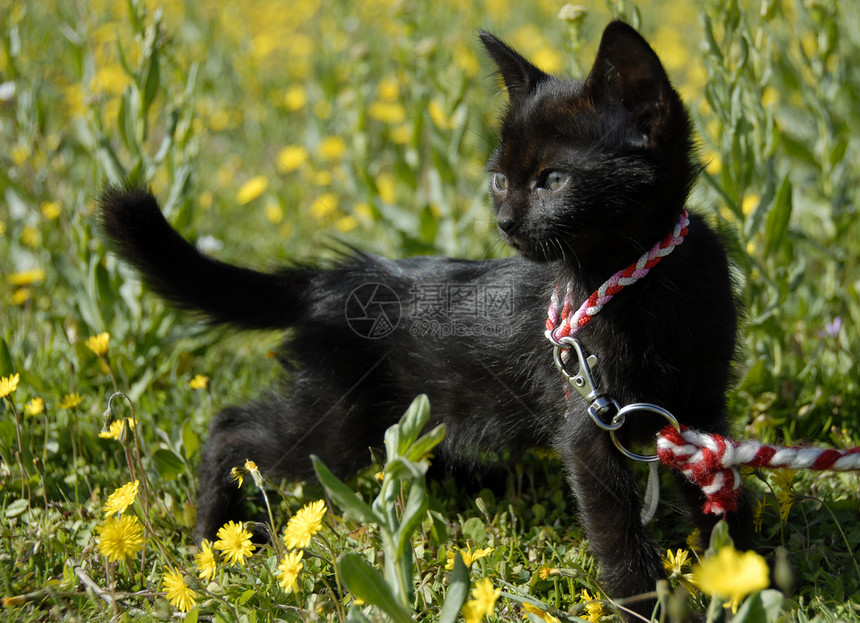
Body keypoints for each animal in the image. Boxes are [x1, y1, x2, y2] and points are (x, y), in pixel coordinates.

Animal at [97, 20, 748, 620]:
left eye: (553, 180)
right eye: (501, 180)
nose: (506, 221)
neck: (638, 281)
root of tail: (336, 282)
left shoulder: (697, 413)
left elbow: (721, 495)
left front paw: (743, 573)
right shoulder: (587, 422)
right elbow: (617, 536)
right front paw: (651, 606)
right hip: (337, 427)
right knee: (232, 427)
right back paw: (210, 537)